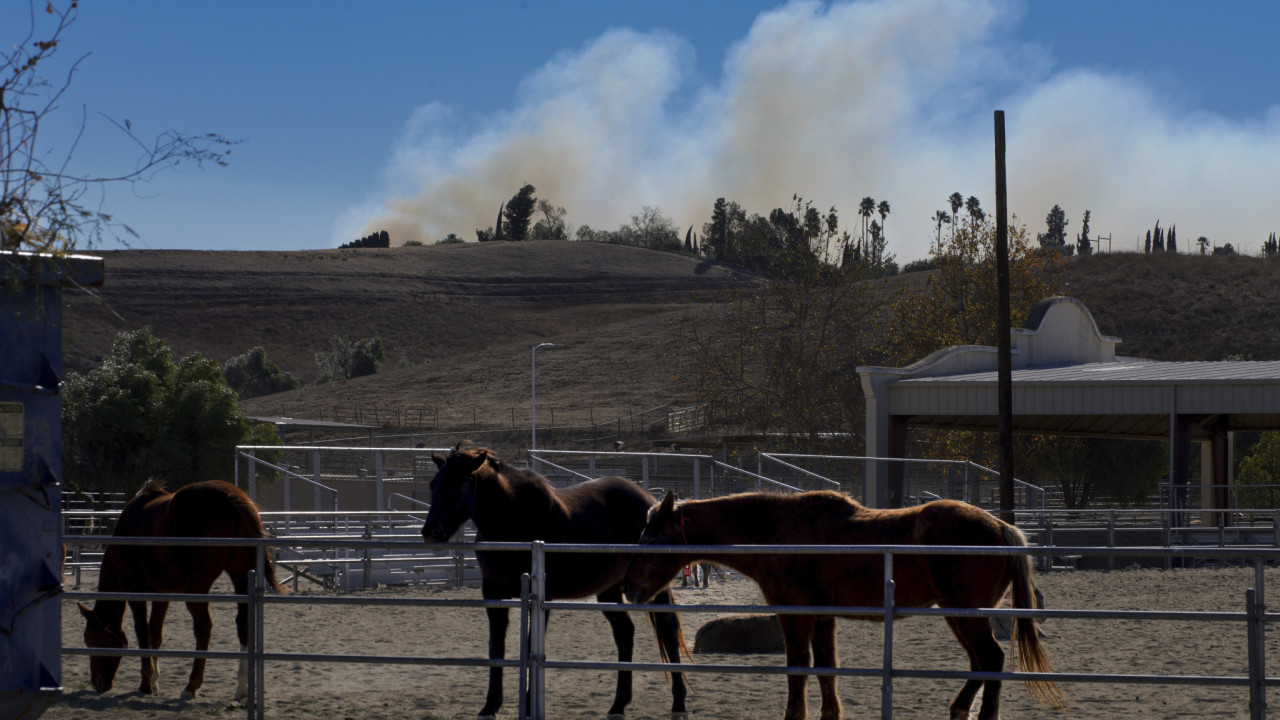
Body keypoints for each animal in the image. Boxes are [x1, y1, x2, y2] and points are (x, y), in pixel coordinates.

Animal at [78, 479, 284, 696]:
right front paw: (154, 680)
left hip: (197, 587)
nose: (97, 683)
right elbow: (155, 632)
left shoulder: (134, 590)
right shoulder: (161, 594)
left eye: (90, 638)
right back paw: (241, 687)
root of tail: (231, 497)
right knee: (243, 624)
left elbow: (142, 631)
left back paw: (192, 685)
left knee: (203, 626)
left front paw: (146, 684)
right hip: (240, 575)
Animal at [422, 443, 691, 717]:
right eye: (433, 484)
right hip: (610, 590)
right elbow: (496, 647)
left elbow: (531, 645)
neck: (515, 517)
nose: (430, 531)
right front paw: (489, 706)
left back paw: (678, 702)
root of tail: (652, 502)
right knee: (625, 632)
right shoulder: (493, 594)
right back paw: (618, 704)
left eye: (457, 485)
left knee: (668, 629)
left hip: (654, 585)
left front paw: (528, 705)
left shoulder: (541, 595)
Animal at [622, 486, 1059, 717]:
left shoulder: (795, 616)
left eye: (649, 539)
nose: (629, 588)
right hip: (962, 617)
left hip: (965, 615)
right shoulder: (822, 618)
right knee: (982, 663)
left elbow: (798, 671)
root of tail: (1001, 527)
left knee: (991, 660)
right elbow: (826, 671)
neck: (780, 531)